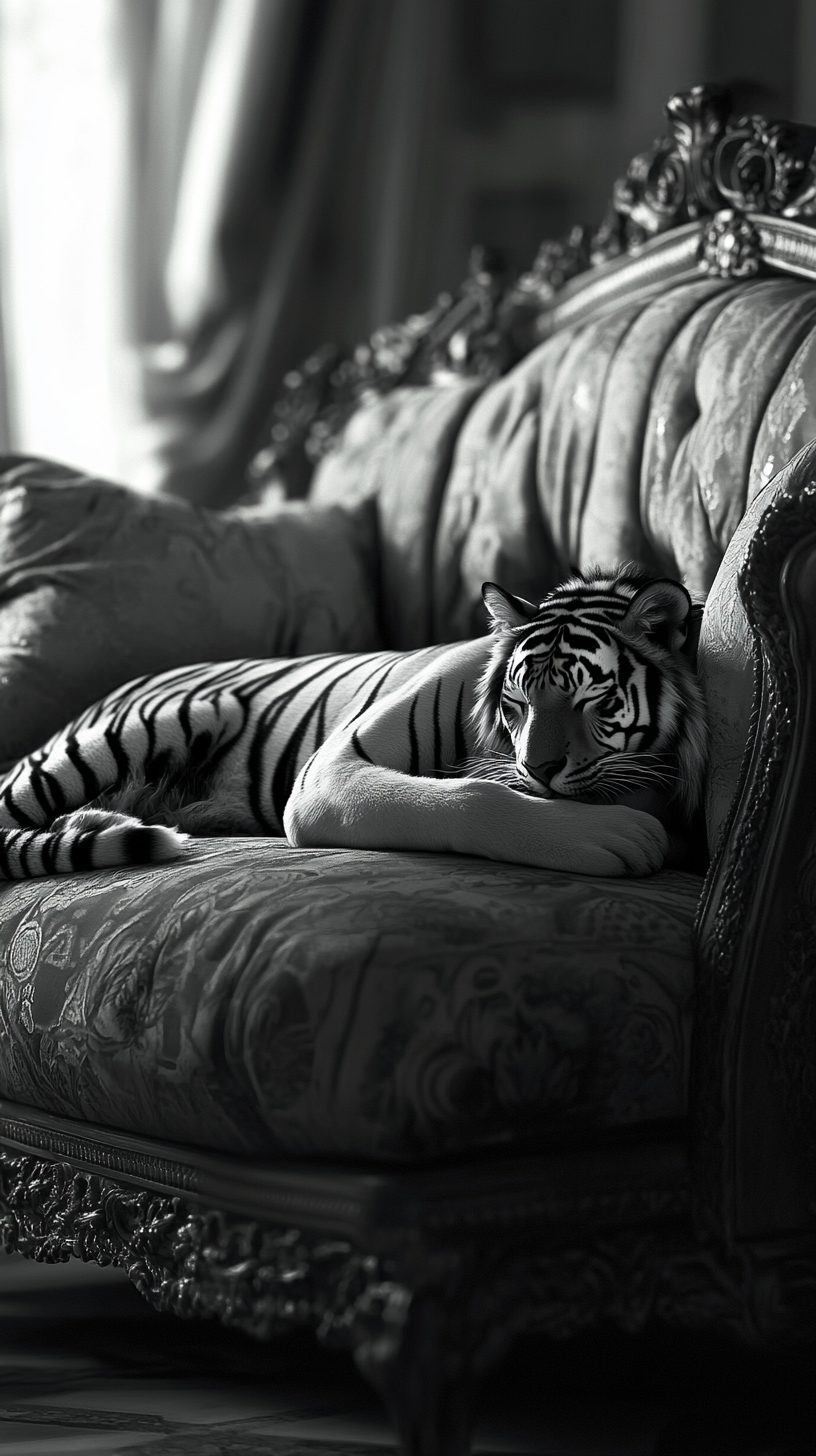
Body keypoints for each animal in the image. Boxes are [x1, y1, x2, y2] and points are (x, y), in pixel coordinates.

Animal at [0, 564, 705, 885]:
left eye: (593, 700)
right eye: (518, 701)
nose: (539, 765)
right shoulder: (328, 771)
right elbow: (475, 793)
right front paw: (617, 834)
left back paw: (107, 821)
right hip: (157, 722)